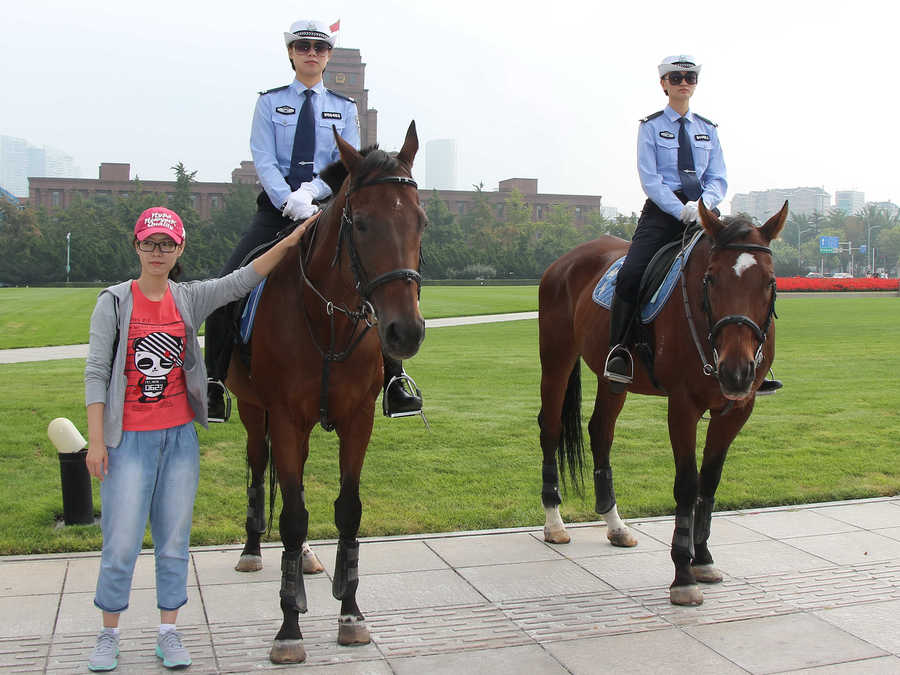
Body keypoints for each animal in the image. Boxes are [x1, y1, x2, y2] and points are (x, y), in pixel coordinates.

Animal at [223, 120, 424, 660]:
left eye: (420, 222)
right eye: (362, 224)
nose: (405, 332)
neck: (329, 318)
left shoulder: (358, 419)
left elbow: (348, 512)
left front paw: (350, 611)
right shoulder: (283, 416)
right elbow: (292, 515)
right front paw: (289, 626)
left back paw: (310, 558)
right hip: (252, 410)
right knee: (258, 469)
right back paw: (252, 549)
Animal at [536, 201, 784, 608]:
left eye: (769, 282)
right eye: (711, 279)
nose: (736, 370)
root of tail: (565, 260)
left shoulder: (736, 409)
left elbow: (709, 483)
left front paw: (704, 558)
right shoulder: (682, 406)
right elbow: (686, 484)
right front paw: (683, 574)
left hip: (613, 378)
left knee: (600, 431)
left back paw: (615, 525)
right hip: (556, 357)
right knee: (551, 429)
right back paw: (554, 522)